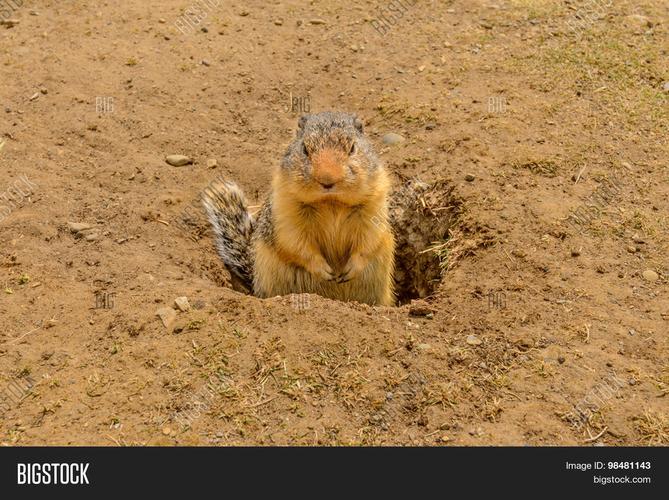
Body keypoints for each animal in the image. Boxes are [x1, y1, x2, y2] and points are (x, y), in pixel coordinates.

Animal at [202, 111, 395, 306]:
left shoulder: (373, 205)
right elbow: (296, 243)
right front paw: (324, 270)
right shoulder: (286, 208)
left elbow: (369, 241)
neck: (331, 202)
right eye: (304, 148)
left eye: (352, 148)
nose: (327, 180)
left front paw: (350, 269)